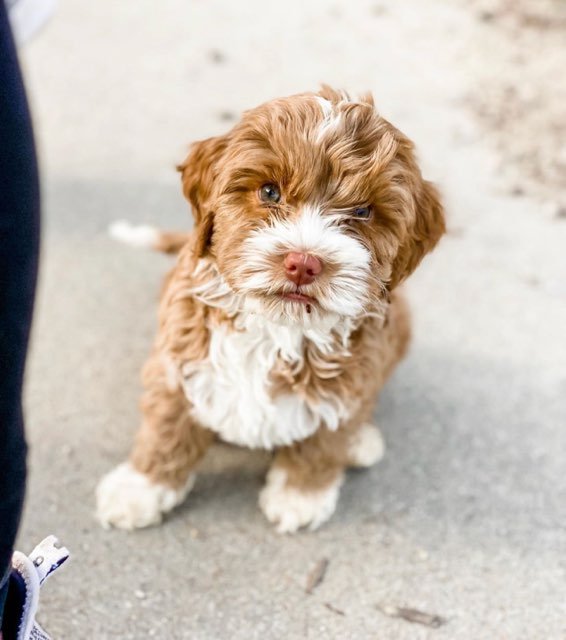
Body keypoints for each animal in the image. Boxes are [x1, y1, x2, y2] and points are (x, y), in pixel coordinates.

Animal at [97, 86, 446, 536]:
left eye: (363, 212)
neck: (277, 330)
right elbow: (167, 425)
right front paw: (141, 487)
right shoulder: (179, 361)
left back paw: (360, 440)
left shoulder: (352, 379)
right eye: (269, 192)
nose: (303, 263)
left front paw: (301, 496)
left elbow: (324, 440)